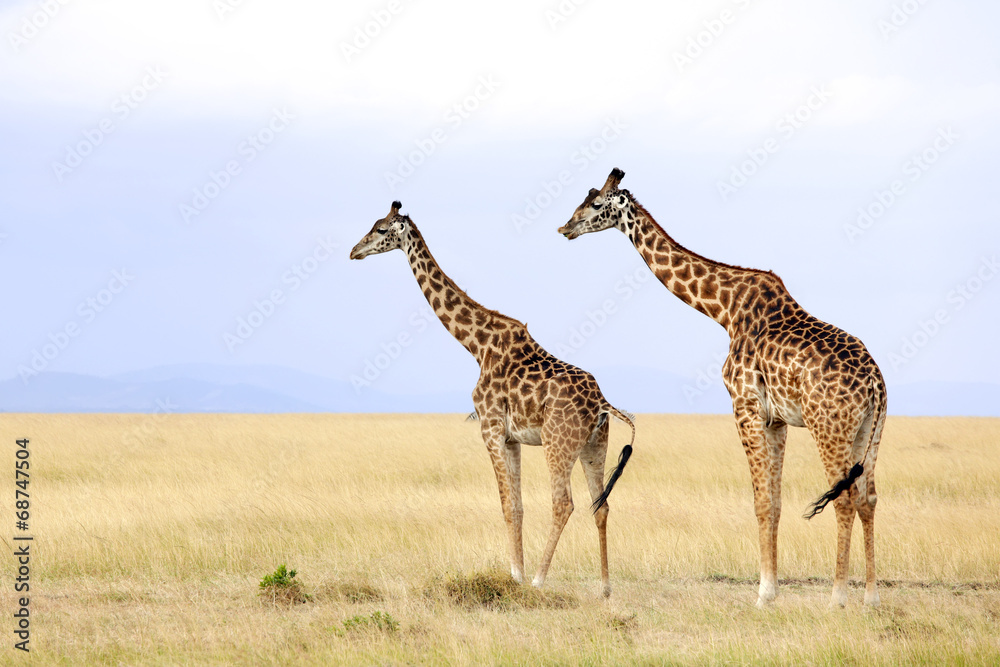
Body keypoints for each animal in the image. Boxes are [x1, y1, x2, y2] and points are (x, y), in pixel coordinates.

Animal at [350, 201, 636, 596]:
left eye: (380, 229)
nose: (354, 251)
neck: (477, 345)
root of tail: (602, 403)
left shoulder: (490, 428)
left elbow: (506, 505)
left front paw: (517, 577)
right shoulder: (511, 437)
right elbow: (518, 507)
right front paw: (517, 572)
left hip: (558, 442)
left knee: (564, 504)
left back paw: (540, 580)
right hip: (595, 444)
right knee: (601, 504)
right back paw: (605, 588)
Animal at [558, 169, 886, 609]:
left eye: (595, 204)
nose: (565, 228)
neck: (724, 311)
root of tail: (876, 384)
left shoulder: (744, 406)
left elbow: (760, 501)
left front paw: (763, 594)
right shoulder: (776, 420)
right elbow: (774, 501)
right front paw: (773, 590)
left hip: (829, 426)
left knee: (846, 497)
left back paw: (837, 598)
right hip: (870, 430)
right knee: (868, 498)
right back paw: (870, 597)